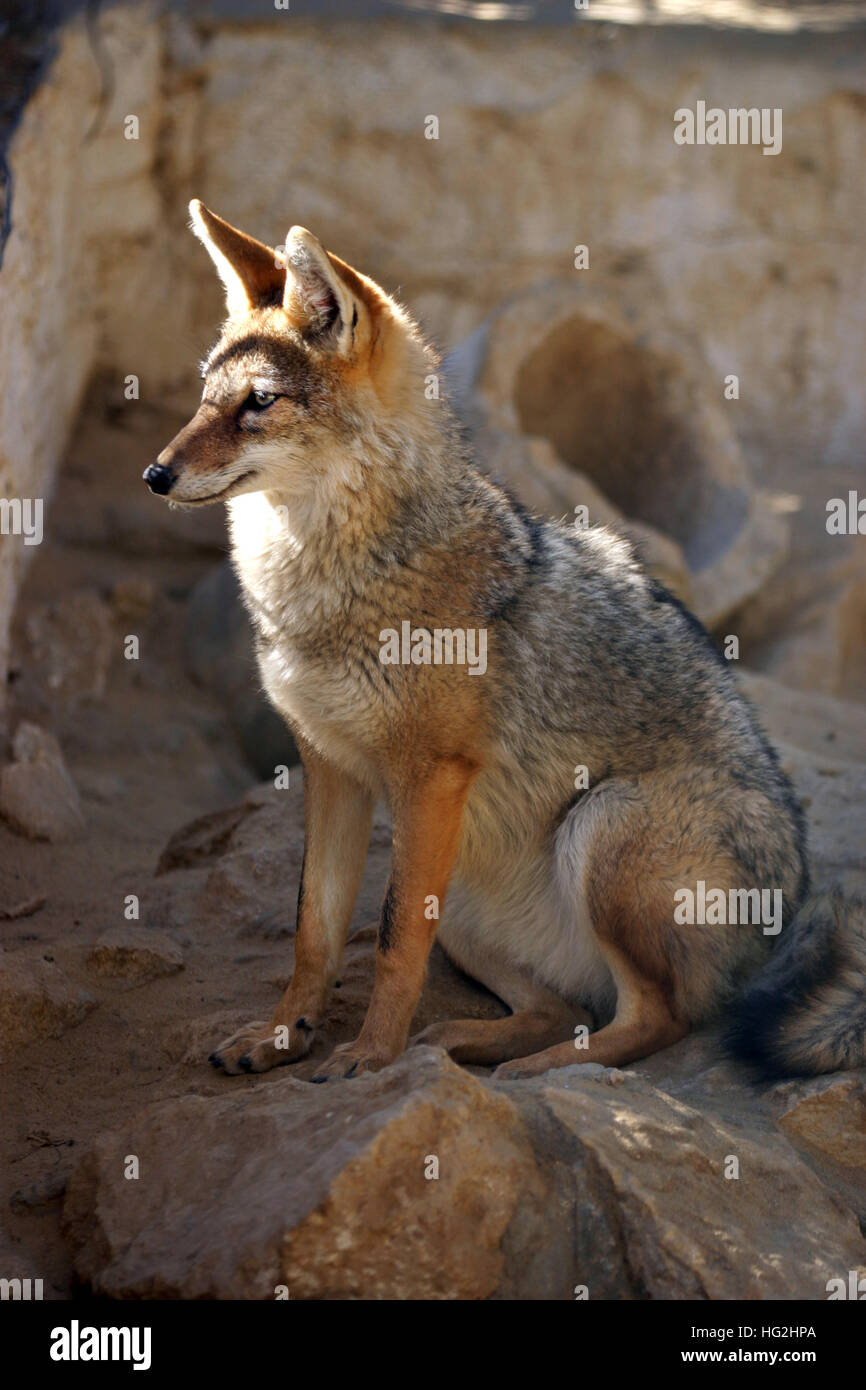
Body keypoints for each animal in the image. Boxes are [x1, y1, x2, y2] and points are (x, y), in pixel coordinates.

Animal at [145, 201, 861, 1078]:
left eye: (259, 402)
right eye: (205, 398)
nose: (155, 474)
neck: (328, 586)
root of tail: (792, 905)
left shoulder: (431, 776)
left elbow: (391, 941)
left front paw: (369, 1056)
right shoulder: (331, 769)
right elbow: (314, 932)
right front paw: (284, 1036)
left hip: (601, 824)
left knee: (656, 1019)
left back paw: (533, 1069)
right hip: (467, 906)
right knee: (564, 1009)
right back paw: (468, 1042)